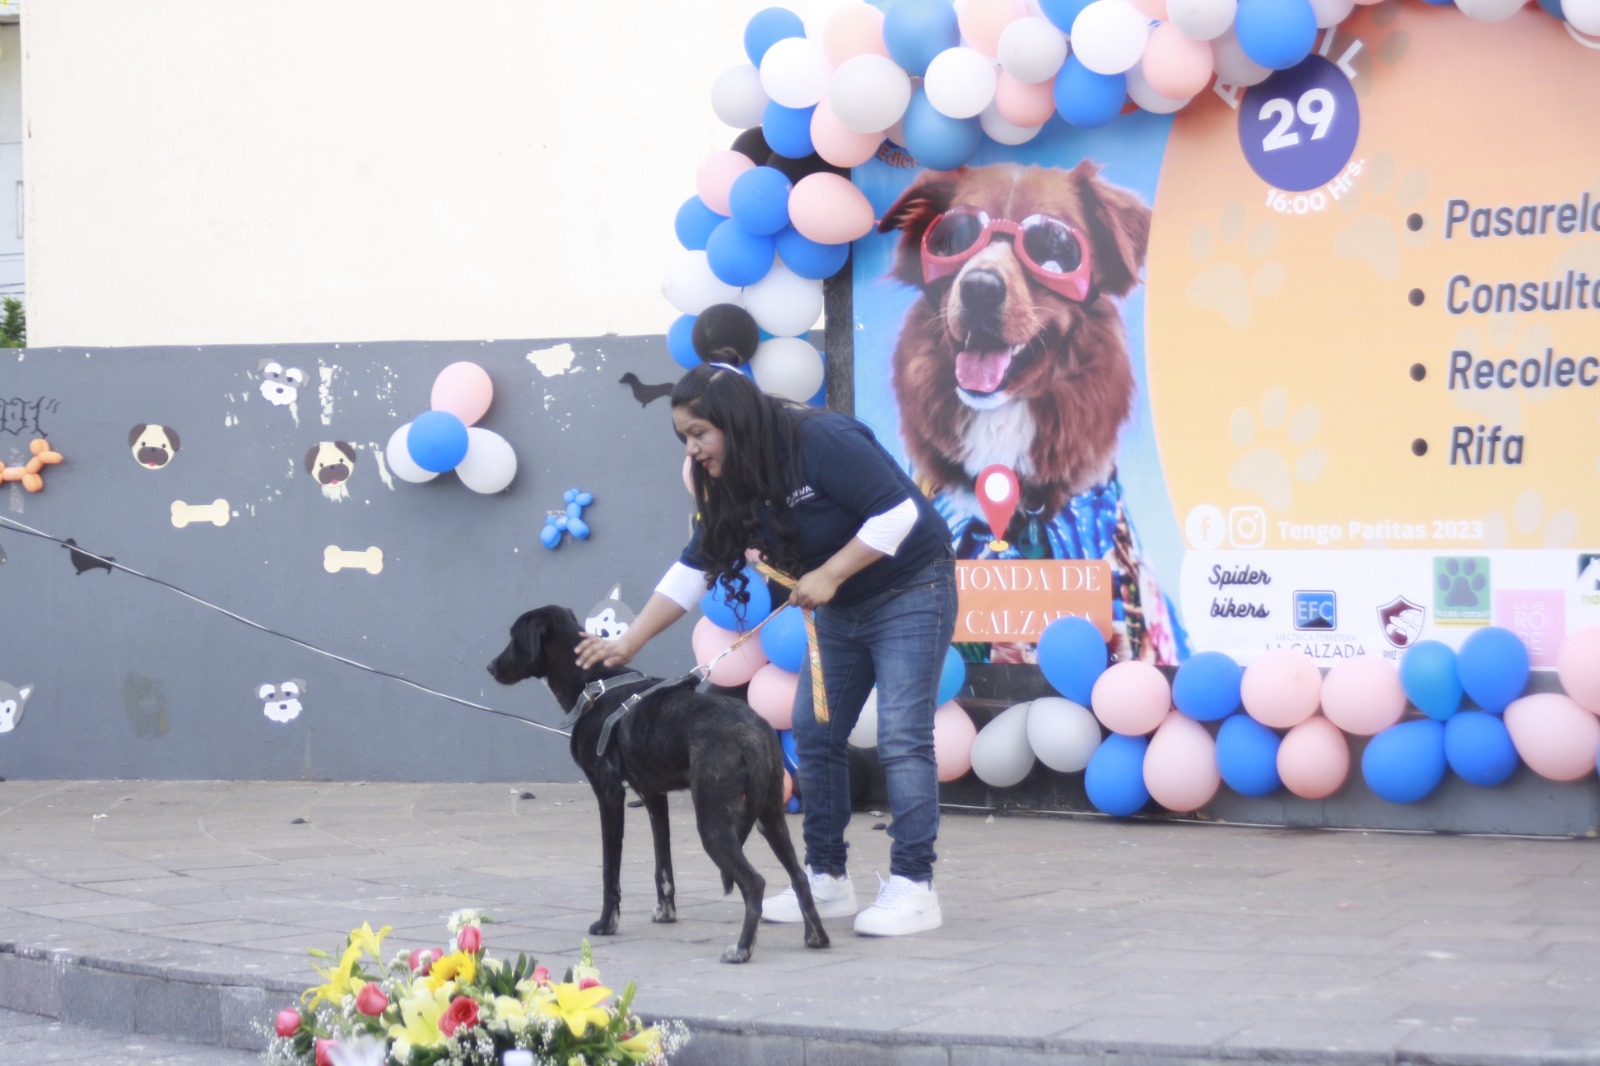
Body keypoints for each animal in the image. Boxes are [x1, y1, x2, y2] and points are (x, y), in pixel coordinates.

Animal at [486, 601, 825, 960]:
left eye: (514, 636)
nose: (491, 667)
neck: (593, 684)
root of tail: (750, 732)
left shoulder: (608, 793)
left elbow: (610, 871)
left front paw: (606, 923)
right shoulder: (653, 796)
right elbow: (663, 865)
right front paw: (666, 912)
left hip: (714, 822)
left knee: (754, 883)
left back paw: (742, 949)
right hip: (769, 814)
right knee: (799, 875)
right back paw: (816, 937)